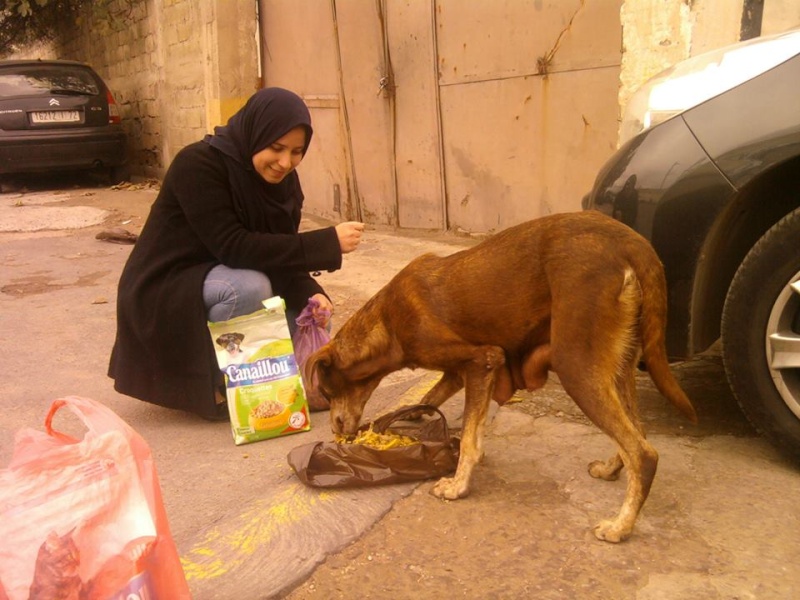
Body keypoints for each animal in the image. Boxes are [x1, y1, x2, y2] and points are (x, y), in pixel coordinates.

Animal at [306, 212, 692, 544]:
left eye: (326, 389)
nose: (338, 431)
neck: (386, 323)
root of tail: (632, 242)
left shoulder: (482, 361)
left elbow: (469, 439)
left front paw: (457, 485)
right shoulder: (458, 371)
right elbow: (429, 398)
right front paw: (402, 417)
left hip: (576, 364)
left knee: (643, 453)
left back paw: (620, 526)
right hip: (618, 364)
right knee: (637, 433)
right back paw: (612, 468)